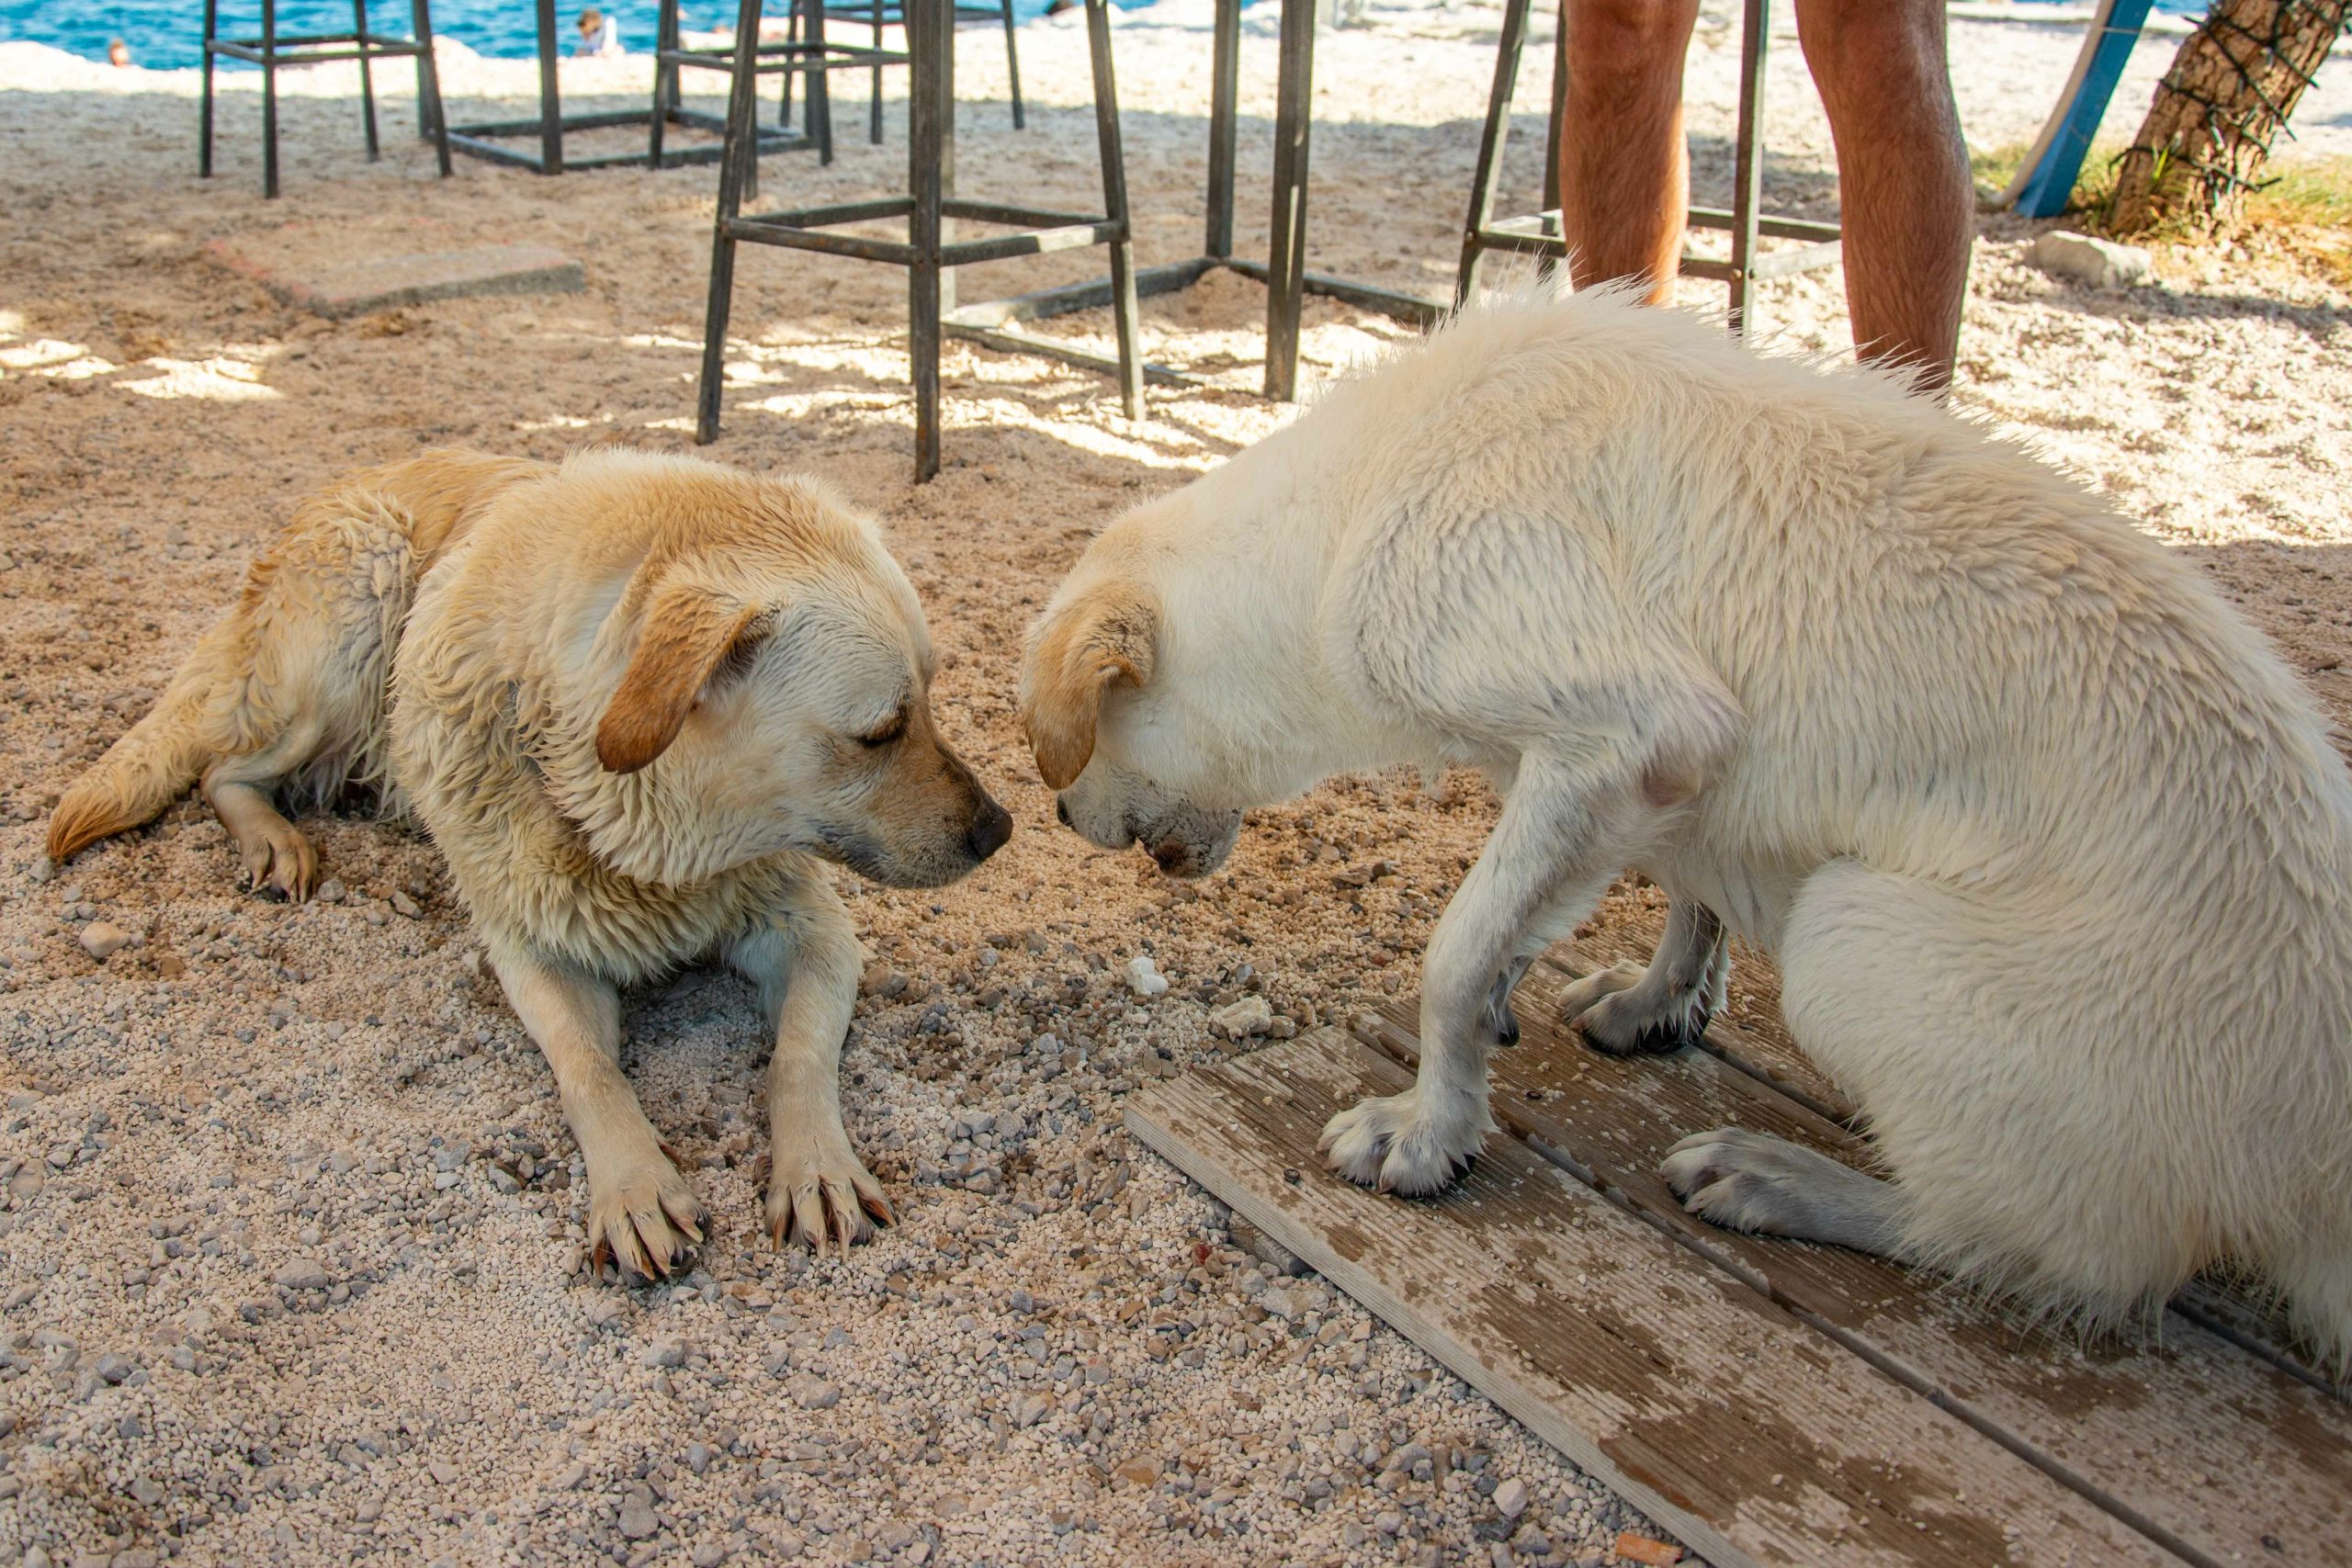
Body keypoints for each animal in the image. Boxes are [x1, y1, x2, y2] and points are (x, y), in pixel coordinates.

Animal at [52, 446, 1011, 1279]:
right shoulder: (533, 951)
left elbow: (798, 1057)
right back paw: (274, 838)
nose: (998, 828)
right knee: (226, 767)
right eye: (881, 731)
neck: (648, 842)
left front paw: (815, 1165)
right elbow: (590, 1071)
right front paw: (633, 1187)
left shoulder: (813, 930)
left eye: (932, 698)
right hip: (349, 633)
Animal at [1025, 288, 2352, 1363]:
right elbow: (1672, 897)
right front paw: (1652, 1000)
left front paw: (1429, 1129)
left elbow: (1451, 957)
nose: (1057, 811)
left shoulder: (1623, 730)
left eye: (1067, 742)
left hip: (1849, 937)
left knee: (2036, 1255)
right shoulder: (1671, 778)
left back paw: (1782, 1179)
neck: (1357, 502)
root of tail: (2318, 1172)